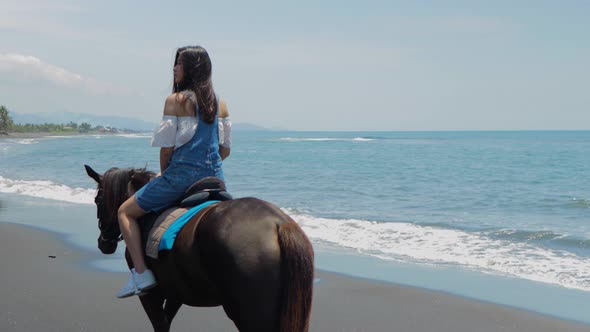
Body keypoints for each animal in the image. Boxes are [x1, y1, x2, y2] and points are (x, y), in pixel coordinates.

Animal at [84, 165, 314, 330]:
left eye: (97, 200)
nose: (103, 243)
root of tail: (278, 223)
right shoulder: (176, 292)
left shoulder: (151, 296)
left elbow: (160, 325)